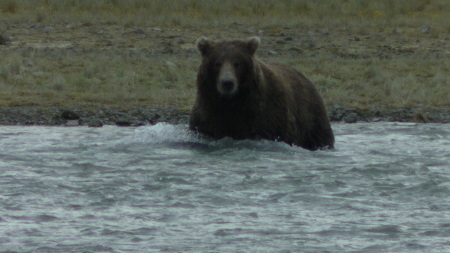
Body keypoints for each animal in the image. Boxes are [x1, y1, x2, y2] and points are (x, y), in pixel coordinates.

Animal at [187, 36, 334, 149]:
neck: (232, 102)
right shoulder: (206, 116)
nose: (227, 82)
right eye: (217, 63)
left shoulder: (266, 115)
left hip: (312, 120)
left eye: (237, 63)